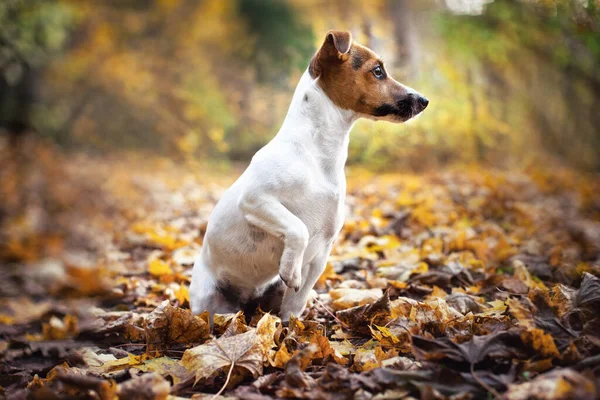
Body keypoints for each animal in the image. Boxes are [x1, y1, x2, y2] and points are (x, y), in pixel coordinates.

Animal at [190, 30, 428, 322]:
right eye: (378, 71)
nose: (424, 101)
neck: (318, 158)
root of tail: (245, 301)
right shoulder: (255, 200)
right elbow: (298, 227)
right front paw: (290, 268)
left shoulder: (320, 254)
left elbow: (296, 302)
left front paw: (293, 329)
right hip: (208, 300)